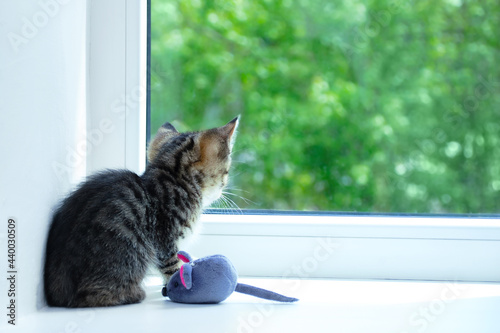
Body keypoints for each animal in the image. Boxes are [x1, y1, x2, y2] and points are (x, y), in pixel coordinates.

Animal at [43, 116, 238, 306]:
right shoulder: (165, 240)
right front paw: (178, 286)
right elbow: (172, 267)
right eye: (226, 173)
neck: (175, 182)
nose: (223, 190)